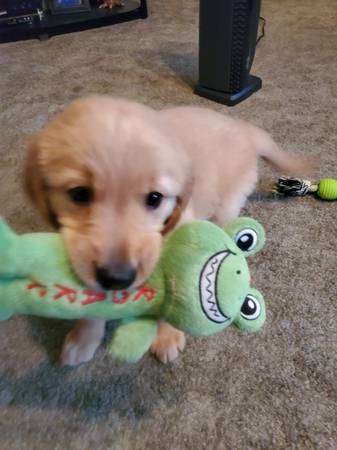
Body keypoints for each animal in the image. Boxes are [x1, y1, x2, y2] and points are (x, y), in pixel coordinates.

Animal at [24, 95, 310, 366]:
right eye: (79, 194)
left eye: (155, 198)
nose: (118, 278)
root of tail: (243, 129)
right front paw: (84, 338)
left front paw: (167, 335)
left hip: (227, 206)